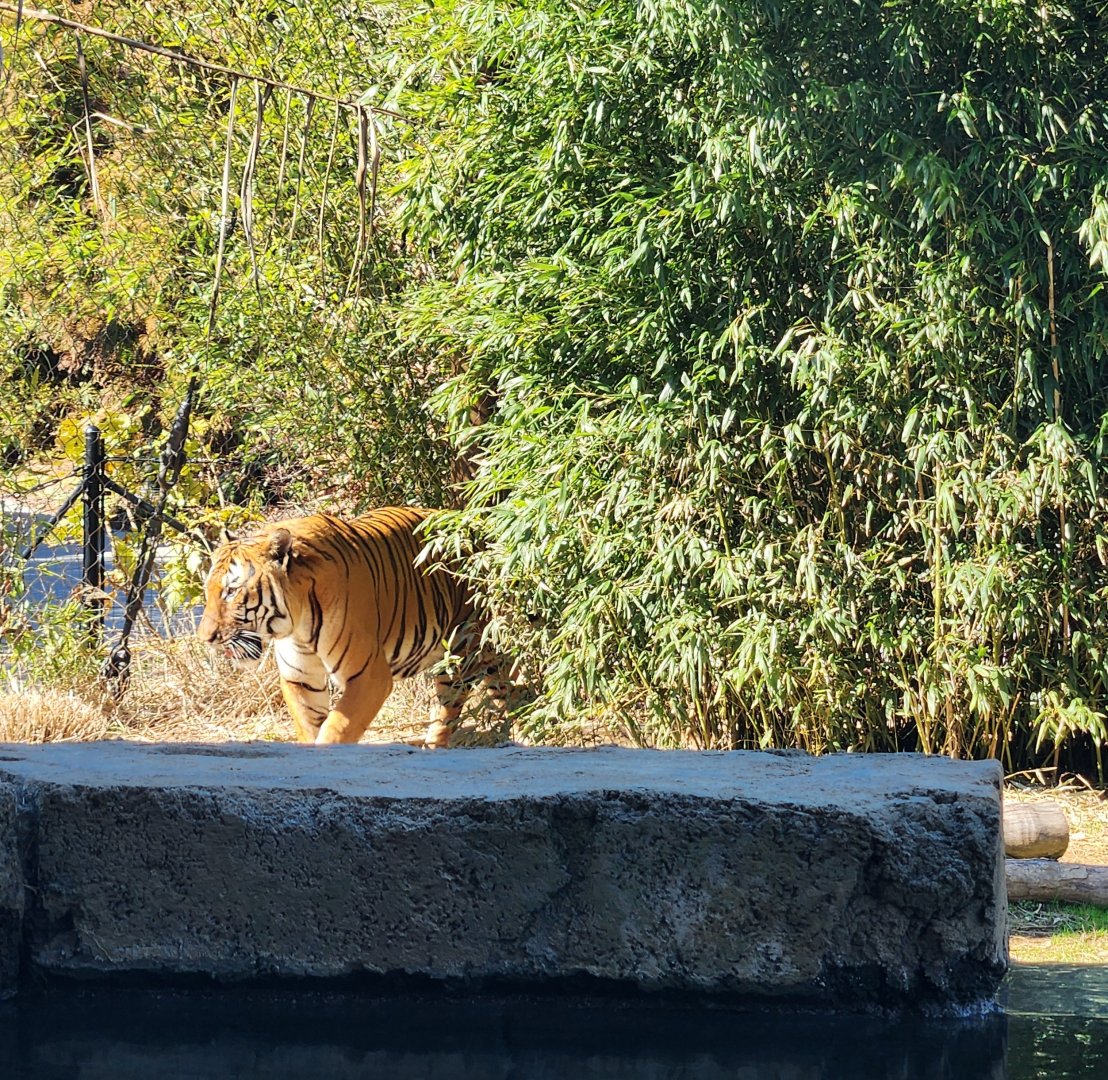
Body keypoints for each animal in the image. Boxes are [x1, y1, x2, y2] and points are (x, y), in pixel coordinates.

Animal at [196, 506, 525, 748]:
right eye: (208, 590)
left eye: (231, 591)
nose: (205, 637)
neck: (297, 626)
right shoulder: (299, 679)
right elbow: (309, 726)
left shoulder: (368, 676)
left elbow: (335, 730)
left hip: (464, 655)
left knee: (458, 707)